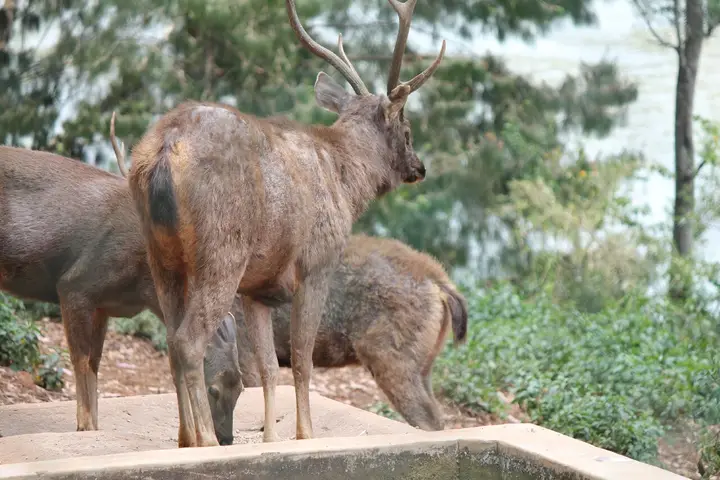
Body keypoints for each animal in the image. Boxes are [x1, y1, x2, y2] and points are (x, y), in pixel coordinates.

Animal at [0, 146, 244, 445]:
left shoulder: (102, 306)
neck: (144, 286)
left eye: (240, 387)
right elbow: (81, 360)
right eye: (214, 389)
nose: (226, 438)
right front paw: (84, 426)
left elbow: (96, 363)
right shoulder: (75, 285)